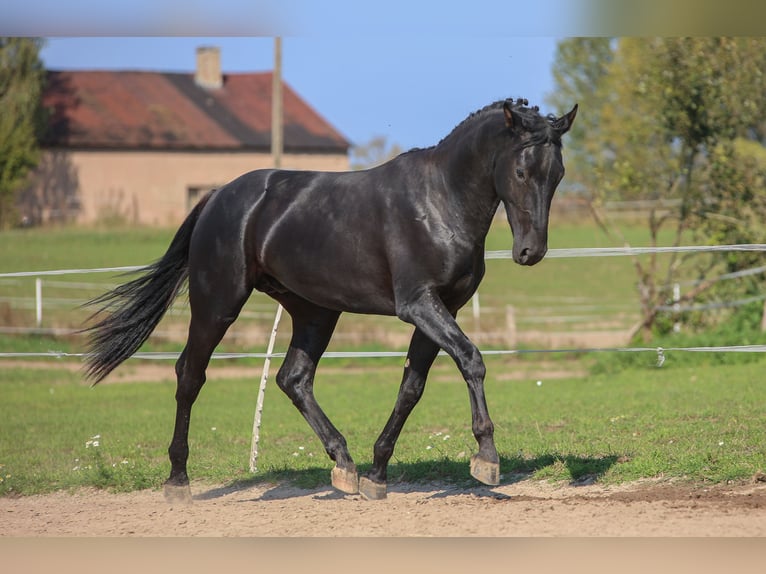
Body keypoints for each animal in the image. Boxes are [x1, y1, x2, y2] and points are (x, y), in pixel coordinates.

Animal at [84, 99, 576, 504]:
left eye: (558, 175)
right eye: (520, 172)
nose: (531, 252)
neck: (439, 202)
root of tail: (218, 196)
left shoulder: (443, 309)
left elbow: (411, 388)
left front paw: (377, 474)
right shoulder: (418, 304)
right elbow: (471, 359)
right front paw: (487, 457)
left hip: (315, 312)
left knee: (293, 379)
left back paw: (345, 465)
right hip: (218, 303)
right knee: (190, 374)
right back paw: (178, 481)